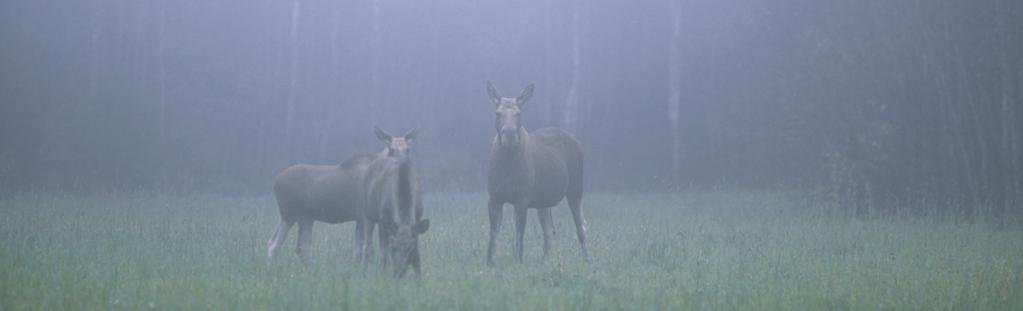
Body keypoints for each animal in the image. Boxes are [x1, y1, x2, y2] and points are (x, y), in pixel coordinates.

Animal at [268, 126, 427, 276]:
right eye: (391, 149)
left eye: (408, 149)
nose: (403, 164)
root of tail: (275, 182)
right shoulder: (364, 216)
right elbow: (364, 250)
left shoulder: (362, 218)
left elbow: (360, 250)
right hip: (290, 215)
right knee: (275, 244)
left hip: (304, 217)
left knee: (297, 246)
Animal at [486, 80, 593, 263]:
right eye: (497, 113)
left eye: (518, 113)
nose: (509, 135)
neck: (506, 163)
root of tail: (577, 142)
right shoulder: (494, 197)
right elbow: (493, 236)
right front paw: (489, 263)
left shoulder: (522, 198)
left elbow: (519, 237)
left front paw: (518, 262)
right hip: (544, 200)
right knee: (549, 231)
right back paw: (545, 262)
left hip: (576, 188)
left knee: (581, 226)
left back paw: (587, 260)